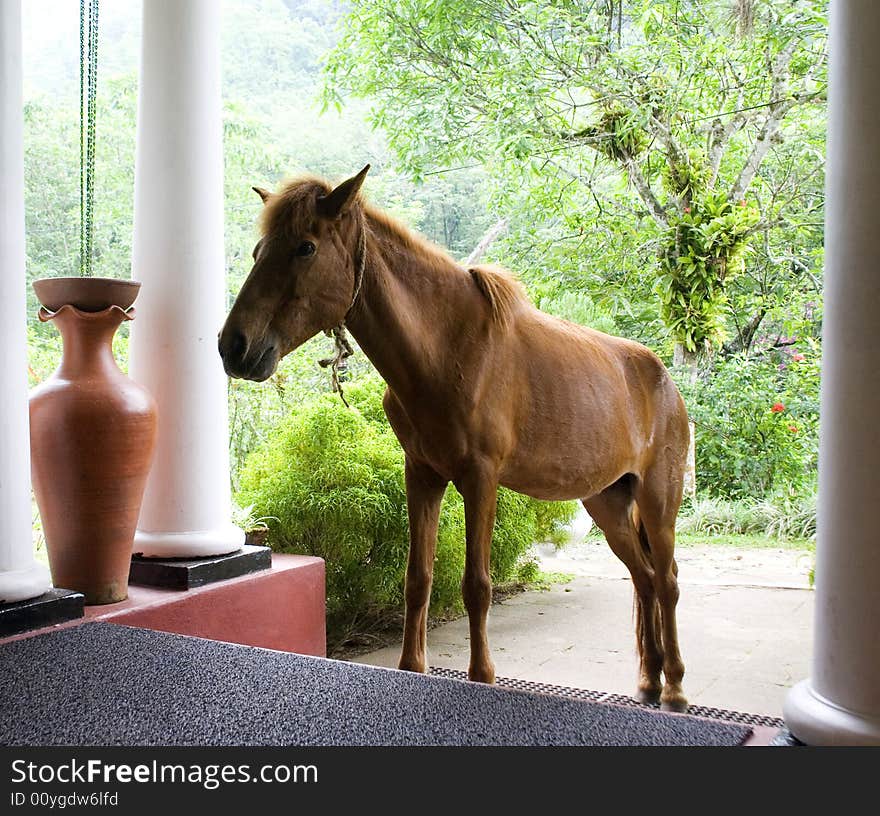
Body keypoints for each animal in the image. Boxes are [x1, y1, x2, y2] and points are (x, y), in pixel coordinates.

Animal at [217, 164, 692, 708]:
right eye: (259, 250)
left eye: (305, 247)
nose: (233, 345)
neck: (448, 348)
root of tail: (664, 381)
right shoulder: (422, 476)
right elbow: (417, 578)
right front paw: (412, 665)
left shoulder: (480, 481)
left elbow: (477, 585)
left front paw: (482, 674)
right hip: (608, 503)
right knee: (645, 578)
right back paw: (649, 680)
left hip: (658, 499)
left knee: (668, 582)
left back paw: (675, 686)